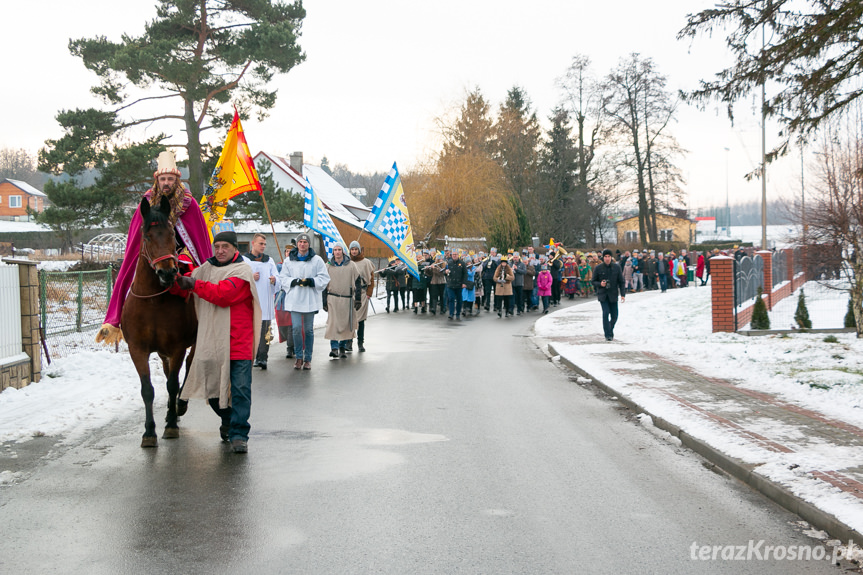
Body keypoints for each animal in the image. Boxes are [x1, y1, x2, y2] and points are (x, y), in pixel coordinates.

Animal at [121, 198, 197, 450]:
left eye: (172, 234)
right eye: (147, 236)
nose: (168, 272)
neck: (154, 301)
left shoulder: (177, 347)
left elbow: (173, 384)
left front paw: (171, 425)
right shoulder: (137, 349)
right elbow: (148, 390)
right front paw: (149, 432)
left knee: (190, 367)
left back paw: (180, 405)